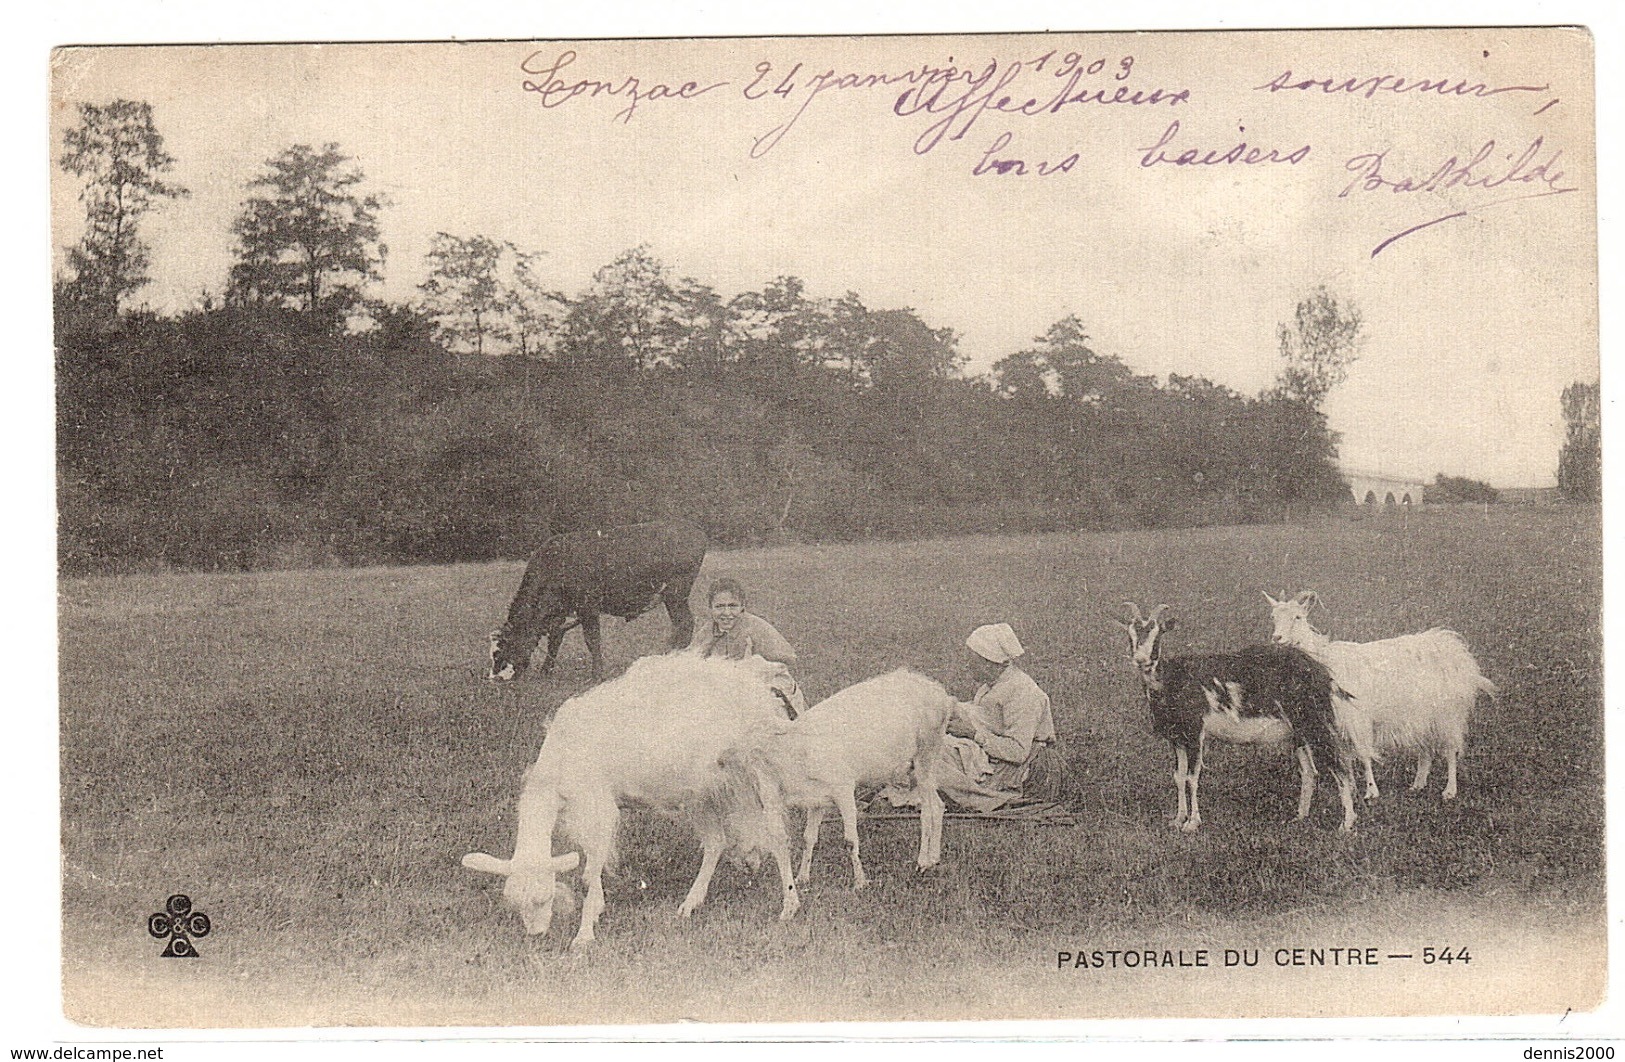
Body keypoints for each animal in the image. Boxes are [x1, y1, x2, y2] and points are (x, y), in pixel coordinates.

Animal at [461, 656, 796, 948]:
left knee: (778, 837)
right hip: (704, 789)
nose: (536, 934)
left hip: (759, 767)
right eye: (513, 901)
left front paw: (584, 935)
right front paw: (597, 909)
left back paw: (789, 905)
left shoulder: (598, 806)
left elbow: (589, 872)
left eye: (544, 897)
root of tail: (761, 684)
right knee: (716, 842)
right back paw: (690, 903)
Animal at [487, 522, 705, 682]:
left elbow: (592, 641)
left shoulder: (588, 607)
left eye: (499, 653)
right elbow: (555, 641)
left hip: (676, 593)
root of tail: (693, 530)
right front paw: (545, 672)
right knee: (680, 625)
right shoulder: (560, 613)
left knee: (684, 623)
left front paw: (596, 676)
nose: (493, 678)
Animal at [744, 675, 955, 889]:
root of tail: (941, 693)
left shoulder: (843, 787)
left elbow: (850, 840)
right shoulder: (815, 799)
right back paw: (934, 859)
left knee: (928, 810)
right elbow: (808, 837)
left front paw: (860, 882)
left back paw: (922, 862)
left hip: (927, 753)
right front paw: (802, 877)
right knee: (938, 805)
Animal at [1118, 607, 1358, 831]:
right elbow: (1178, 776)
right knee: (1309, 772)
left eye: (1158, 634)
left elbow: (1191, 778)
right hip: (1299, 731)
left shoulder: (1195, 732)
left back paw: (1346, 825)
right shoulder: (1176, 738)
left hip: (1316, 722)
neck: (1173, 680)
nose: (1141, 660)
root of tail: (1321, 671)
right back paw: (1300, 816)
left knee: (1340, 767)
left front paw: (1192, 823)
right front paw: (1178, 819)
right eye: (1130, 635)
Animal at [1267, 594, 1495, 802]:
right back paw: (1418, 784)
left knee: (1450, 749)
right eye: (1273, 617)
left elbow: (1364, 755)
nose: (1277, 638)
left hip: (1448, 714)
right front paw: (1351, 788)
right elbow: (1346, 757)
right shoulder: (1337, 723)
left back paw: (1449, 790)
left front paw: (1371, 792)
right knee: (1426, 749)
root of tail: (1457, 651)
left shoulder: (1357, 719)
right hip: (1424, 716)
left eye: (1298, 617)